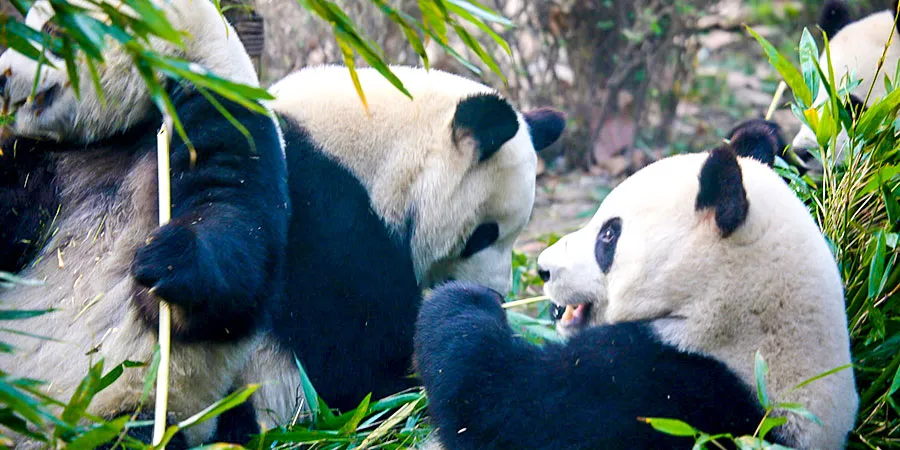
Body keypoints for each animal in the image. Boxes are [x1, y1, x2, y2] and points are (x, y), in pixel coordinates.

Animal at [0, 0, 288, 447]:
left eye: (50, 29)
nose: (2, 77)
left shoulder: (221, 115)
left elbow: (235, 227)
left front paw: (168, 258)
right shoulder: (46, 158)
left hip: (124, 407)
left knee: (126, 430)